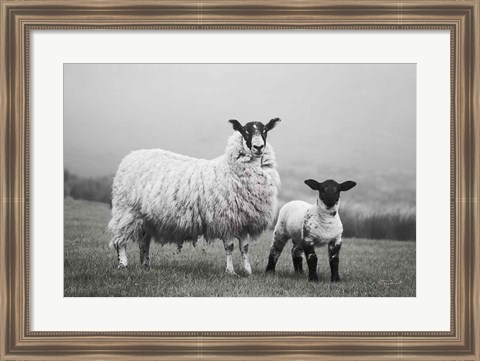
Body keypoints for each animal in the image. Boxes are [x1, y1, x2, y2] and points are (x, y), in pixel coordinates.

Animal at [109, 116, 282, 274]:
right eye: (245, 131)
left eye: (265, 130)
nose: (258, 147)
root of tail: (130, 157)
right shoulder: (225, 218)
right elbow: (230, 246)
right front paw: (230, 271)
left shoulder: (244, 220)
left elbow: (244, 248)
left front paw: (248, 271)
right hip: (126, 211)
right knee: (120, 240)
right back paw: (123, 265)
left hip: (145, 217)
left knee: (144, 242)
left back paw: (145, 265)